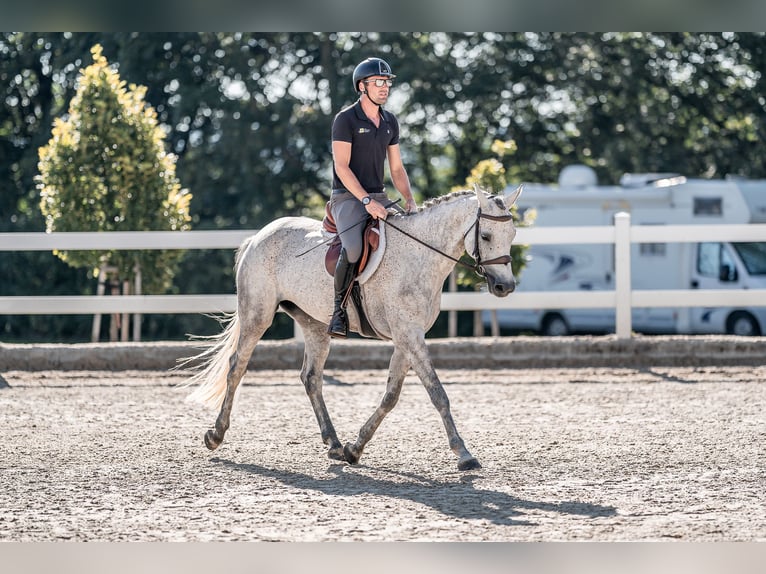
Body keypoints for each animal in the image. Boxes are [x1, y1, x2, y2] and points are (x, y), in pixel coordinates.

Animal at [184, 184, 522, 471]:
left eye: (512, 233)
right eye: (487, 236)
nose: (505, 287)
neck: (419, 256)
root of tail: (257, 237)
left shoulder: (406, 337)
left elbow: (391, 396)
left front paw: (354, 447)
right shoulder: (408, 334)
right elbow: (437, 393)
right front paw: (463, 453)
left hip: (314, 323)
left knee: (311, 377)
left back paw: (333, 443)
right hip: (258, 315)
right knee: (237, 367)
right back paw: (216, 434)